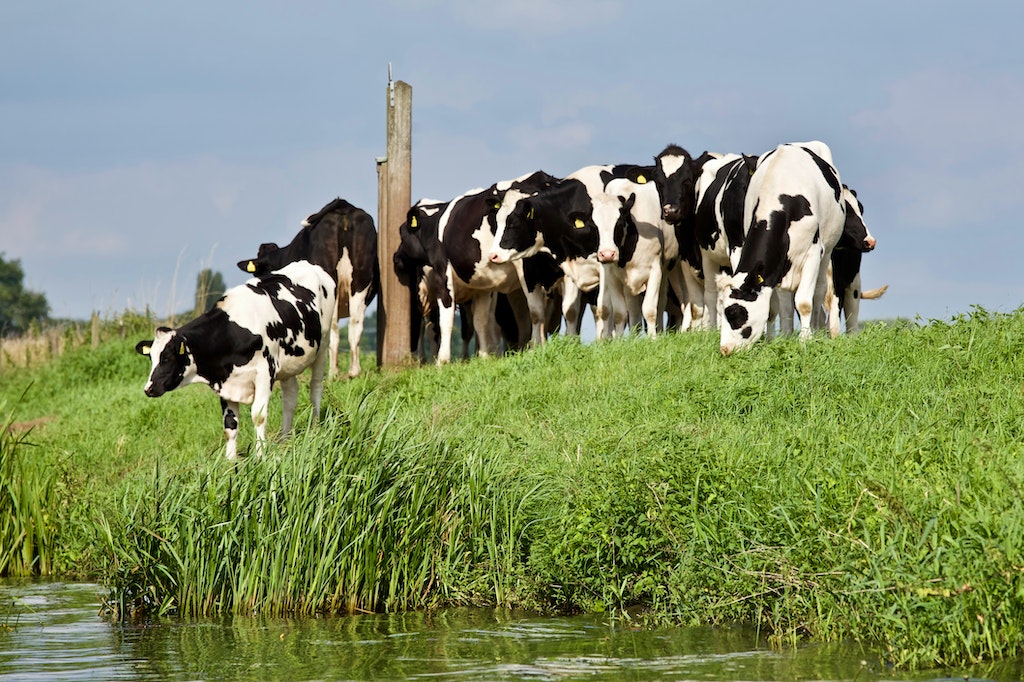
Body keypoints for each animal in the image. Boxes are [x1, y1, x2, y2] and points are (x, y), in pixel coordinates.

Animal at [136, 259, 333, 456]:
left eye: (167, 358)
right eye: (151, 358)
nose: (148, 389)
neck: (233, 332)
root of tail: (306, 264)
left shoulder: (265, 373)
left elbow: (258, 415)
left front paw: (260, 455)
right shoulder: (225, 381)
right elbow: (229, 425)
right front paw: (230, 460)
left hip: (322, 347)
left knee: (315, 388)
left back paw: (316, 428)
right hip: (288, 365)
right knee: (290, 397)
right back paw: (284, 439)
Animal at [237, 195, 378, 376]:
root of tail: (343, 206)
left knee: (333, 328)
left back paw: (333, 373)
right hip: (360, 282)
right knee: (355, 324)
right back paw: (354, 371)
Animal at [712, 140, 847, 352]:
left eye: (734, 313)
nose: (725, 349)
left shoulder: (812, 254)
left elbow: (804, 302)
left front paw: (805, 340)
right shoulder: (775, 267)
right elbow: (775, 307)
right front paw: (775, 339)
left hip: (827, 252)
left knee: (819, 292)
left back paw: (816, 330)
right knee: (785, 301)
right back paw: (786, 332)